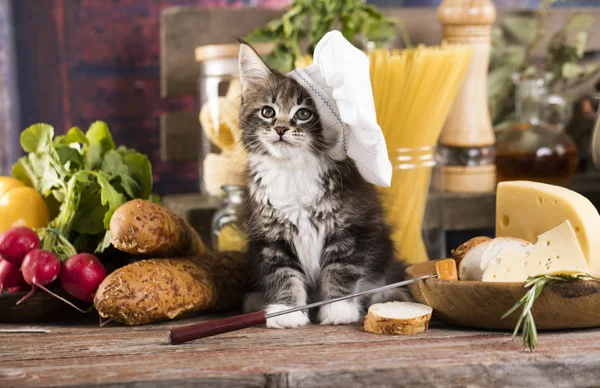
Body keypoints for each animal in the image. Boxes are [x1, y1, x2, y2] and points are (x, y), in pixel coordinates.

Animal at [238, 41, 398, 328]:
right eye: (268, 112)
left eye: (303, 114)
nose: (280, 129)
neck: (293, 169)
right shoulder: (271, 236)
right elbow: (283, 274)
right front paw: (286, 311)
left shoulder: (350, 228)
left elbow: (341, 269)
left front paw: (338, 309)